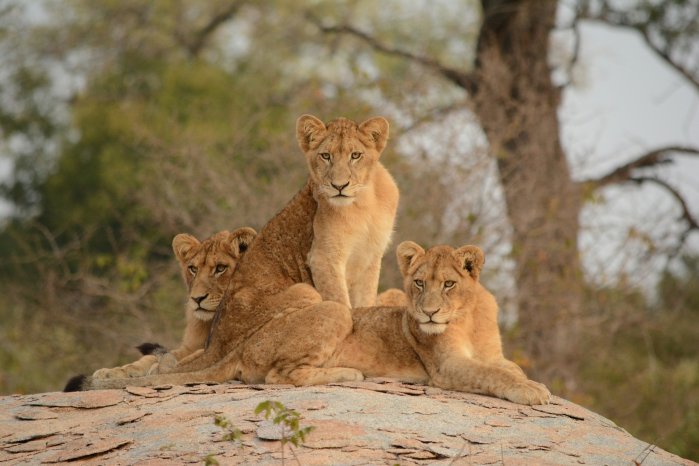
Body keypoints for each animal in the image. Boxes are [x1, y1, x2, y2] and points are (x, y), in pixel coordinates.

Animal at [91, 228, 256, 380]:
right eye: (193, 269)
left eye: (220, 268)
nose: (197, 299)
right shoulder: (190, 346)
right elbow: (155, 357)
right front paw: (113, 371)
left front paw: (160, 369)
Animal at [326, 241, 551, 405]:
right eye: (419, 283)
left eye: (448, 284)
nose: (429, 312)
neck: (468, 320)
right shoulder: (446, 364)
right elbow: (491, 373)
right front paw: (529, 389)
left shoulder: (493, 356)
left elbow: (514, 369)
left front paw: (530, 383)